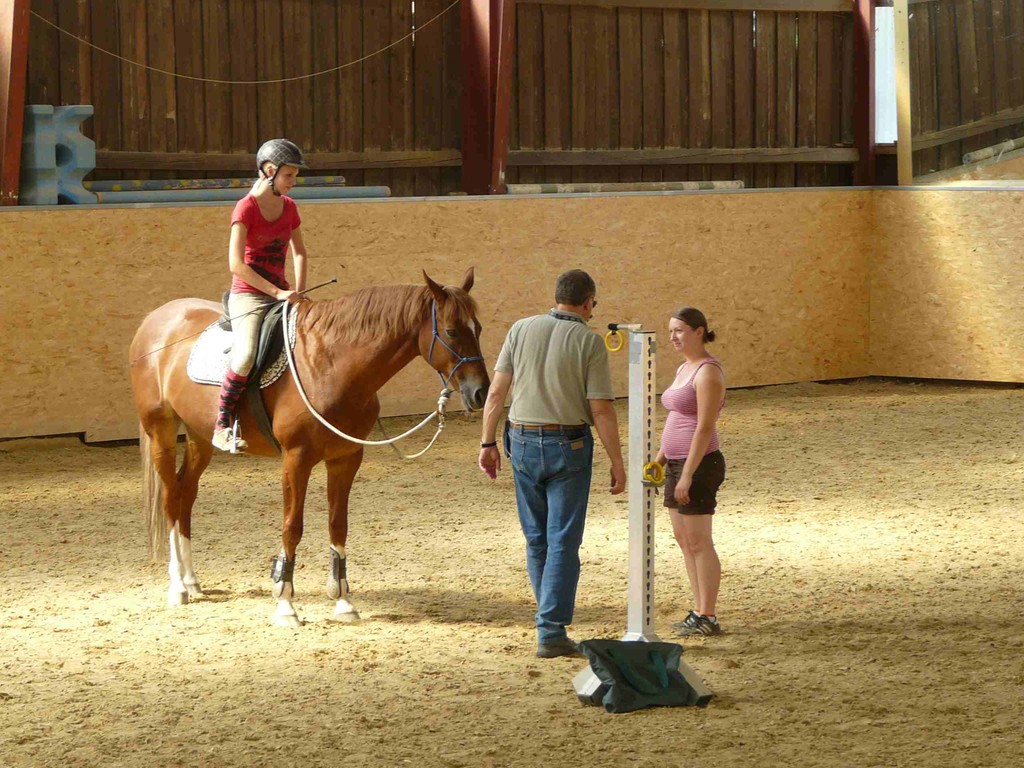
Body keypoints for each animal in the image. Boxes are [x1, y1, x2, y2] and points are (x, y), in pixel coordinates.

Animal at [130, 270, 489, 626]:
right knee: (171, 498)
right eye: (451, 331)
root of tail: (154, 320)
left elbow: (338, 524)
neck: (329, 365)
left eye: (479, 328)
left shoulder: (346, 458)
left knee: (186, 494)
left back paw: (192, 580)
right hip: (161, 432)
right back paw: (178, 586)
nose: (481, 392)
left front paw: (343, 601)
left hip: (199, 437)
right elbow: (292, 527)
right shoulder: (296, 459)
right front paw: (285, 604)